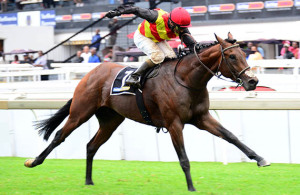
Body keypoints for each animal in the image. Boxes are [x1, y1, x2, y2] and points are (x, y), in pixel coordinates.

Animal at [25, 32, 270, 191]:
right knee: (59, 135)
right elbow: (183, 158)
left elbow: (231, 136)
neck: (186, 80)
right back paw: (34, 161)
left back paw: (88, 181)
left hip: (110, 120)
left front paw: (260, 158)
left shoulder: (202, 118)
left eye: (244, 54)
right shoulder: (174, 123)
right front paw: (191, 187)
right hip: (80, 111)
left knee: (91, 146)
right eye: (232, 56)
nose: (253, 81)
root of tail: (91, 73)